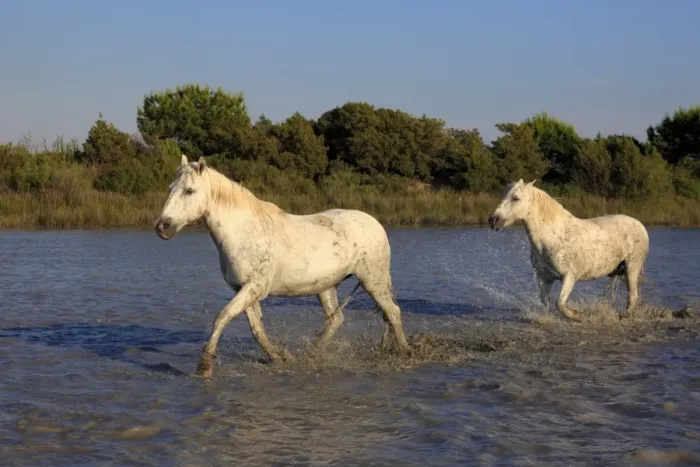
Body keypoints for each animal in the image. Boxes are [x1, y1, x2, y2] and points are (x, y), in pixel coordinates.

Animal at [153, 155, 411, 378]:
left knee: (392, 312)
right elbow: (257, 329)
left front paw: (204, 366)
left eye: (189, 191)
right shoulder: (243, 289)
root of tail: (376, 224)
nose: (162, 227)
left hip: (373, 280)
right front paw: (279, 357)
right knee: (336, 320)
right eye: (169, 188)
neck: (243, 231)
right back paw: (309, 356)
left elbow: (222, 317)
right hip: (326, 287)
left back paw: (405, 352)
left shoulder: (254, 287)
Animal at [488, 179, 649, 322]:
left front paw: (578, 316)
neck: (553, 237)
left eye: (516, 198)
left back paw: (622, 316)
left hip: (632, 267)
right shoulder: (544, 278)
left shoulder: (569, 277)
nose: (493, 220)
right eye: (504, 195)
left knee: (633, 296)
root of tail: (639, 225)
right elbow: (545, 302)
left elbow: (559, 304)